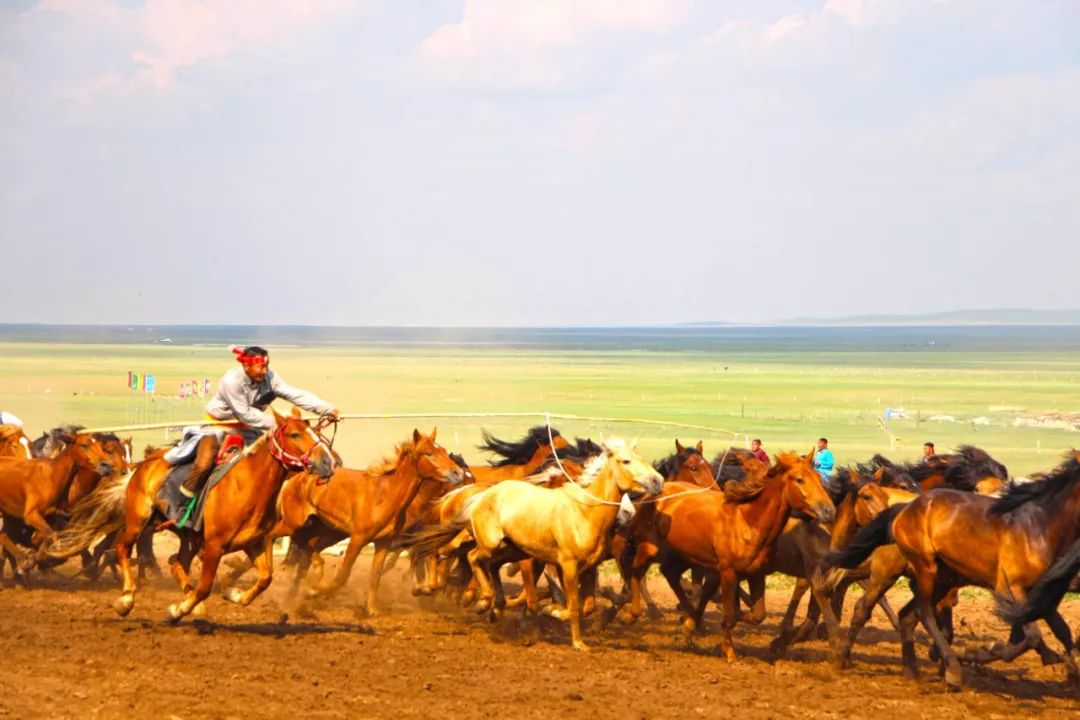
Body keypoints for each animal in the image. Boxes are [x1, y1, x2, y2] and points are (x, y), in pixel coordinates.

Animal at [270, 427, 464, 613]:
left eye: (444, 451)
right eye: (428, 452)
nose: (458, 473)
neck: (385, 495)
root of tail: (295, 479)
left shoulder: (384, 542)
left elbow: (376, 576)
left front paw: (372, 609)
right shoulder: (358, 539)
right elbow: (342, 575)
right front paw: (313, 591)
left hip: (324, 530)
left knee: (306, 553)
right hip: (292, 523)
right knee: (273, 537)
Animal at [622, 453, 829, 660]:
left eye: (819, 478)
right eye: (799, 479)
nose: (828, 510)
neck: (748, 522)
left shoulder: (756, 574)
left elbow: (757, 615)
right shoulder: (728, 572)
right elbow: (729, 615)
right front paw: (729, 652)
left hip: (683, 554)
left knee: (669, 574)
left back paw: (689, 619)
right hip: (650, 546)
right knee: (636, 571)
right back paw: (634, 614)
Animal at [825, 453, 1080, 690]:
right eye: (978, 487)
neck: (1036, 525)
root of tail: (903, 509)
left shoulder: (1039, 593)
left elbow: (1057, 629)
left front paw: (1066, 664)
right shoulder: (1007, 588)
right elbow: (1031, 634)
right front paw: (974, 654)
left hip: (938, 578)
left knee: (903, 613)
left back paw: (910, 669)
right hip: (904, 571)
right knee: (889, 608)